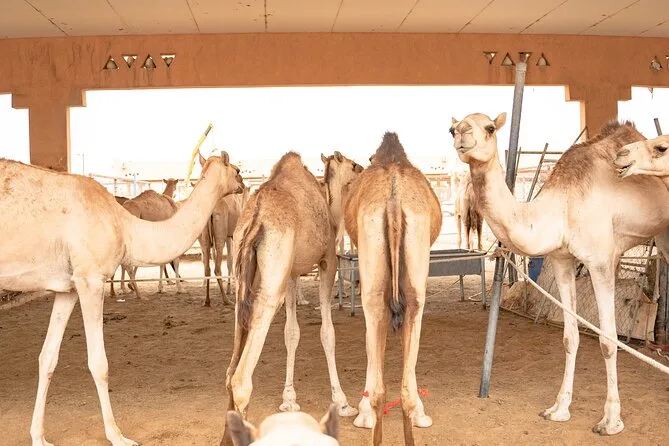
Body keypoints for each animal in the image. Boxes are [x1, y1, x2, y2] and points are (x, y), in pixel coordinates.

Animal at [0, 154, 243, 445]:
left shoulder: (67, 288)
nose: (243, 185)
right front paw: (117, 435)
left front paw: (38, 437)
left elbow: (47, 358)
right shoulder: (90, 279)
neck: (124, 226)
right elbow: (99, 363)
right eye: (236, 169)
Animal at [221, 151, 362, 445]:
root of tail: (256, 218)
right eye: (353, 165)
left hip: (245, 276)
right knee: (240, 378)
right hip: (272, 276)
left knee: (230, 370)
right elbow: (327, 333)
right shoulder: (327, 261)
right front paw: (342, 402)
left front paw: (289, 399)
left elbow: (291, 332)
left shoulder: (291, 273)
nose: (364, 168)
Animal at [449, 112, 669, 435]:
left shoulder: (600, 261)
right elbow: (569, 337)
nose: (461, 134)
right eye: (452, 128)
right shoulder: (562, 261)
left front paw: (610, 421)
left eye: (489, 127)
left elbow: (607, 341)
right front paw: (559, 408)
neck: (560, 208)